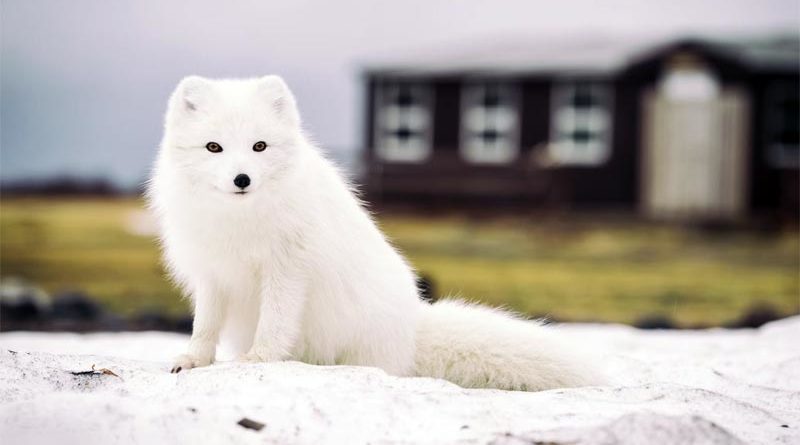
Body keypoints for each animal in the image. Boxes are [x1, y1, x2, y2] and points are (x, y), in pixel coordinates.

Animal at [147, 74, 604, 390]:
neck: (239, 221)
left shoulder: (287, 270)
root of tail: (412, 329)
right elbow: (204, 325)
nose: (242, 179)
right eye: (213, 147)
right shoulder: (211, 274)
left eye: (259, 146)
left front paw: (259, 359)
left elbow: (275, 322)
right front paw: (192, 360)